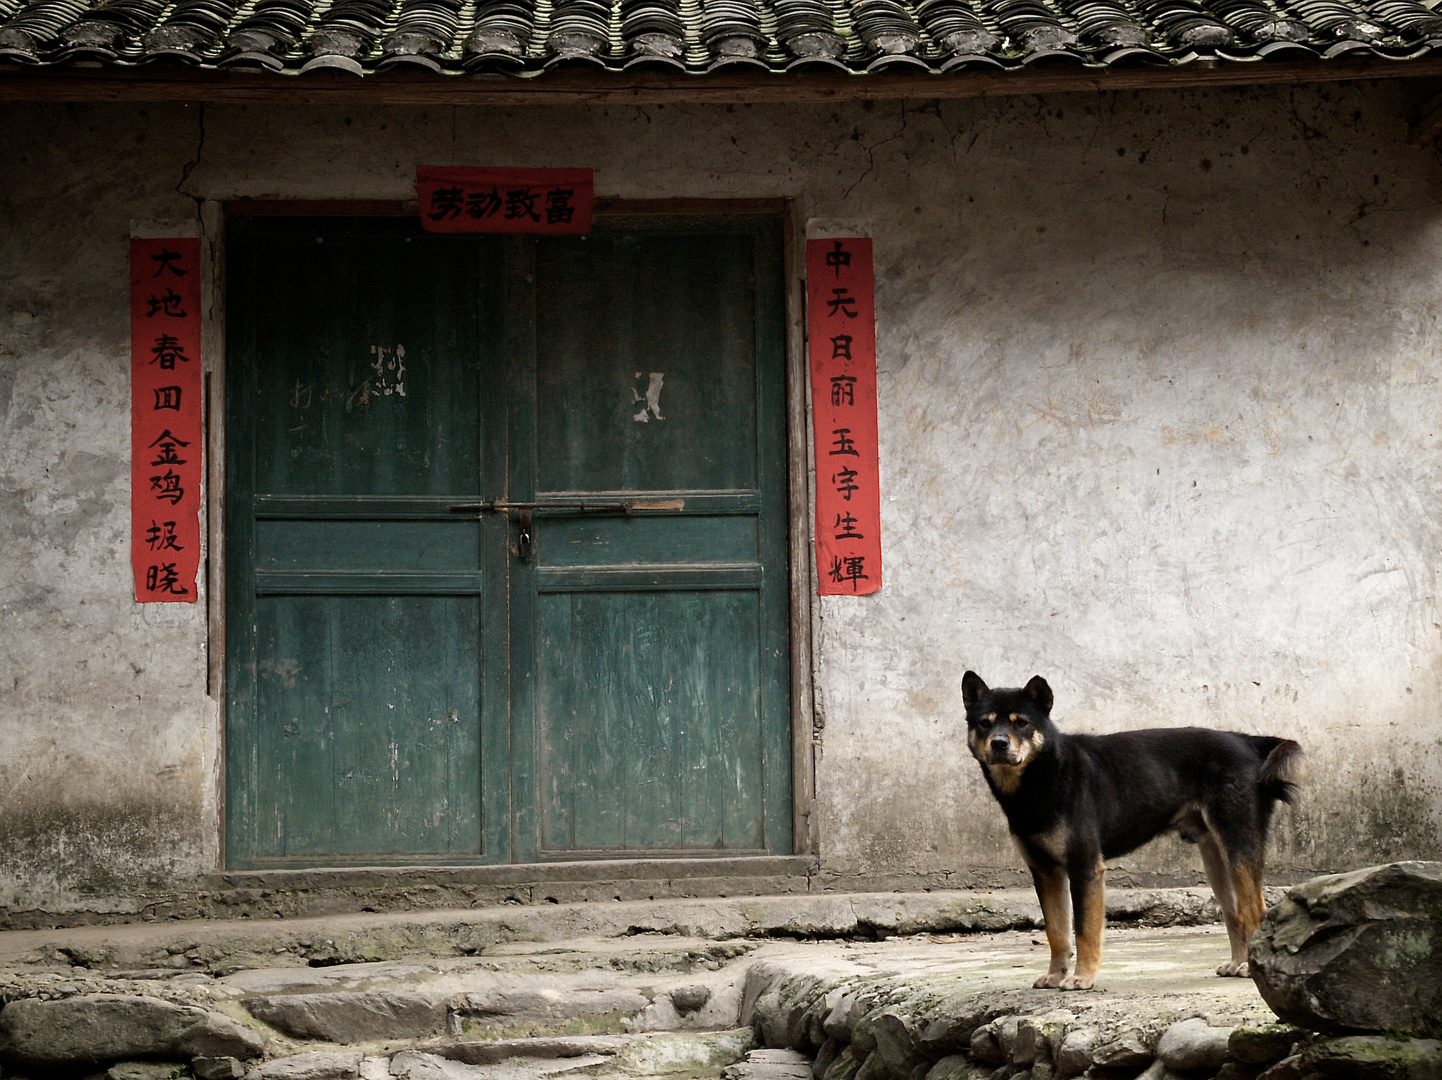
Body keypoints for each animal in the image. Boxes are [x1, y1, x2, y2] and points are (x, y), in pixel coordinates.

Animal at [957, 669, 1309, 992]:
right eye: (985, 723)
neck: (1041, 776)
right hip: (1216, 858)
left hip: (1239, 845)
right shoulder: (1045, 871)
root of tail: (1248, 741)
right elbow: (1056, 932)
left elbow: (1084, 930)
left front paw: (1082, 978)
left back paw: (1250, 967)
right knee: (1234, 913)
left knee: (1254, 911)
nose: (999, 744)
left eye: (1022, 723)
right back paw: (1239, 962)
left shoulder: (1085, 867)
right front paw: (1056, 975)